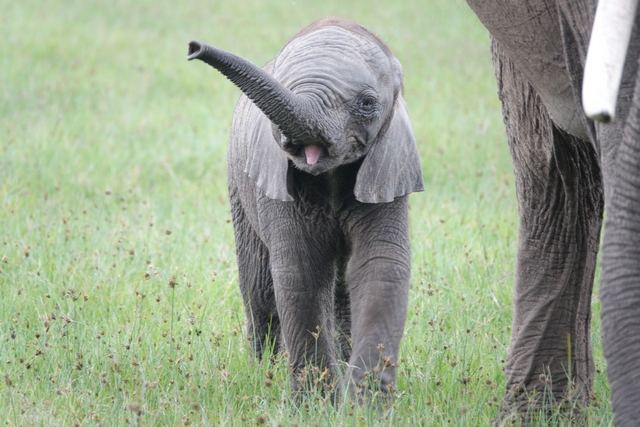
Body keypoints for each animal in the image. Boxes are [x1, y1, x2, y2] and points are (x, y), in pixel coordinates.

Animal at [187, 18, 424, 397]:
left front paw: (365, 402)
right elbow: (300, 273)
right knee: (259, 287)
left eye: (368, 103)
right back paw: (264, 371)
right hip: (237, 184)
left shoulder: (389, 169)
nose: (193, 48)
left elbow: (380, 267)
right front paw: (318, 402)